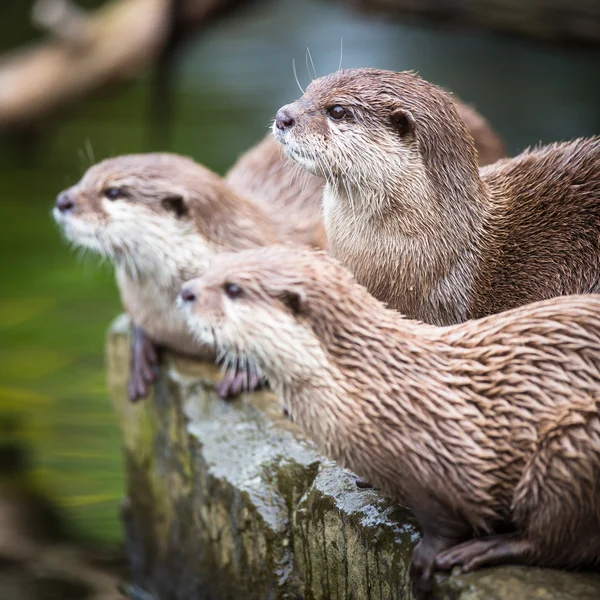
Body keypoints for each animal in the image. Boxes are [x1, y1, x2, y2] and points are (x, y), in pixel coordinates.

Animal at [180, 245, 600, 600]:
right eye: (212, 267)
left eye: (233, 288)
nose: (185, 291)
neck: (374, 385)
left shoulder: (448, 456)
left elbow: (448, 519)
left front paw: (427, 561)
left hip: (573, 442)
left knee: (557, 540)